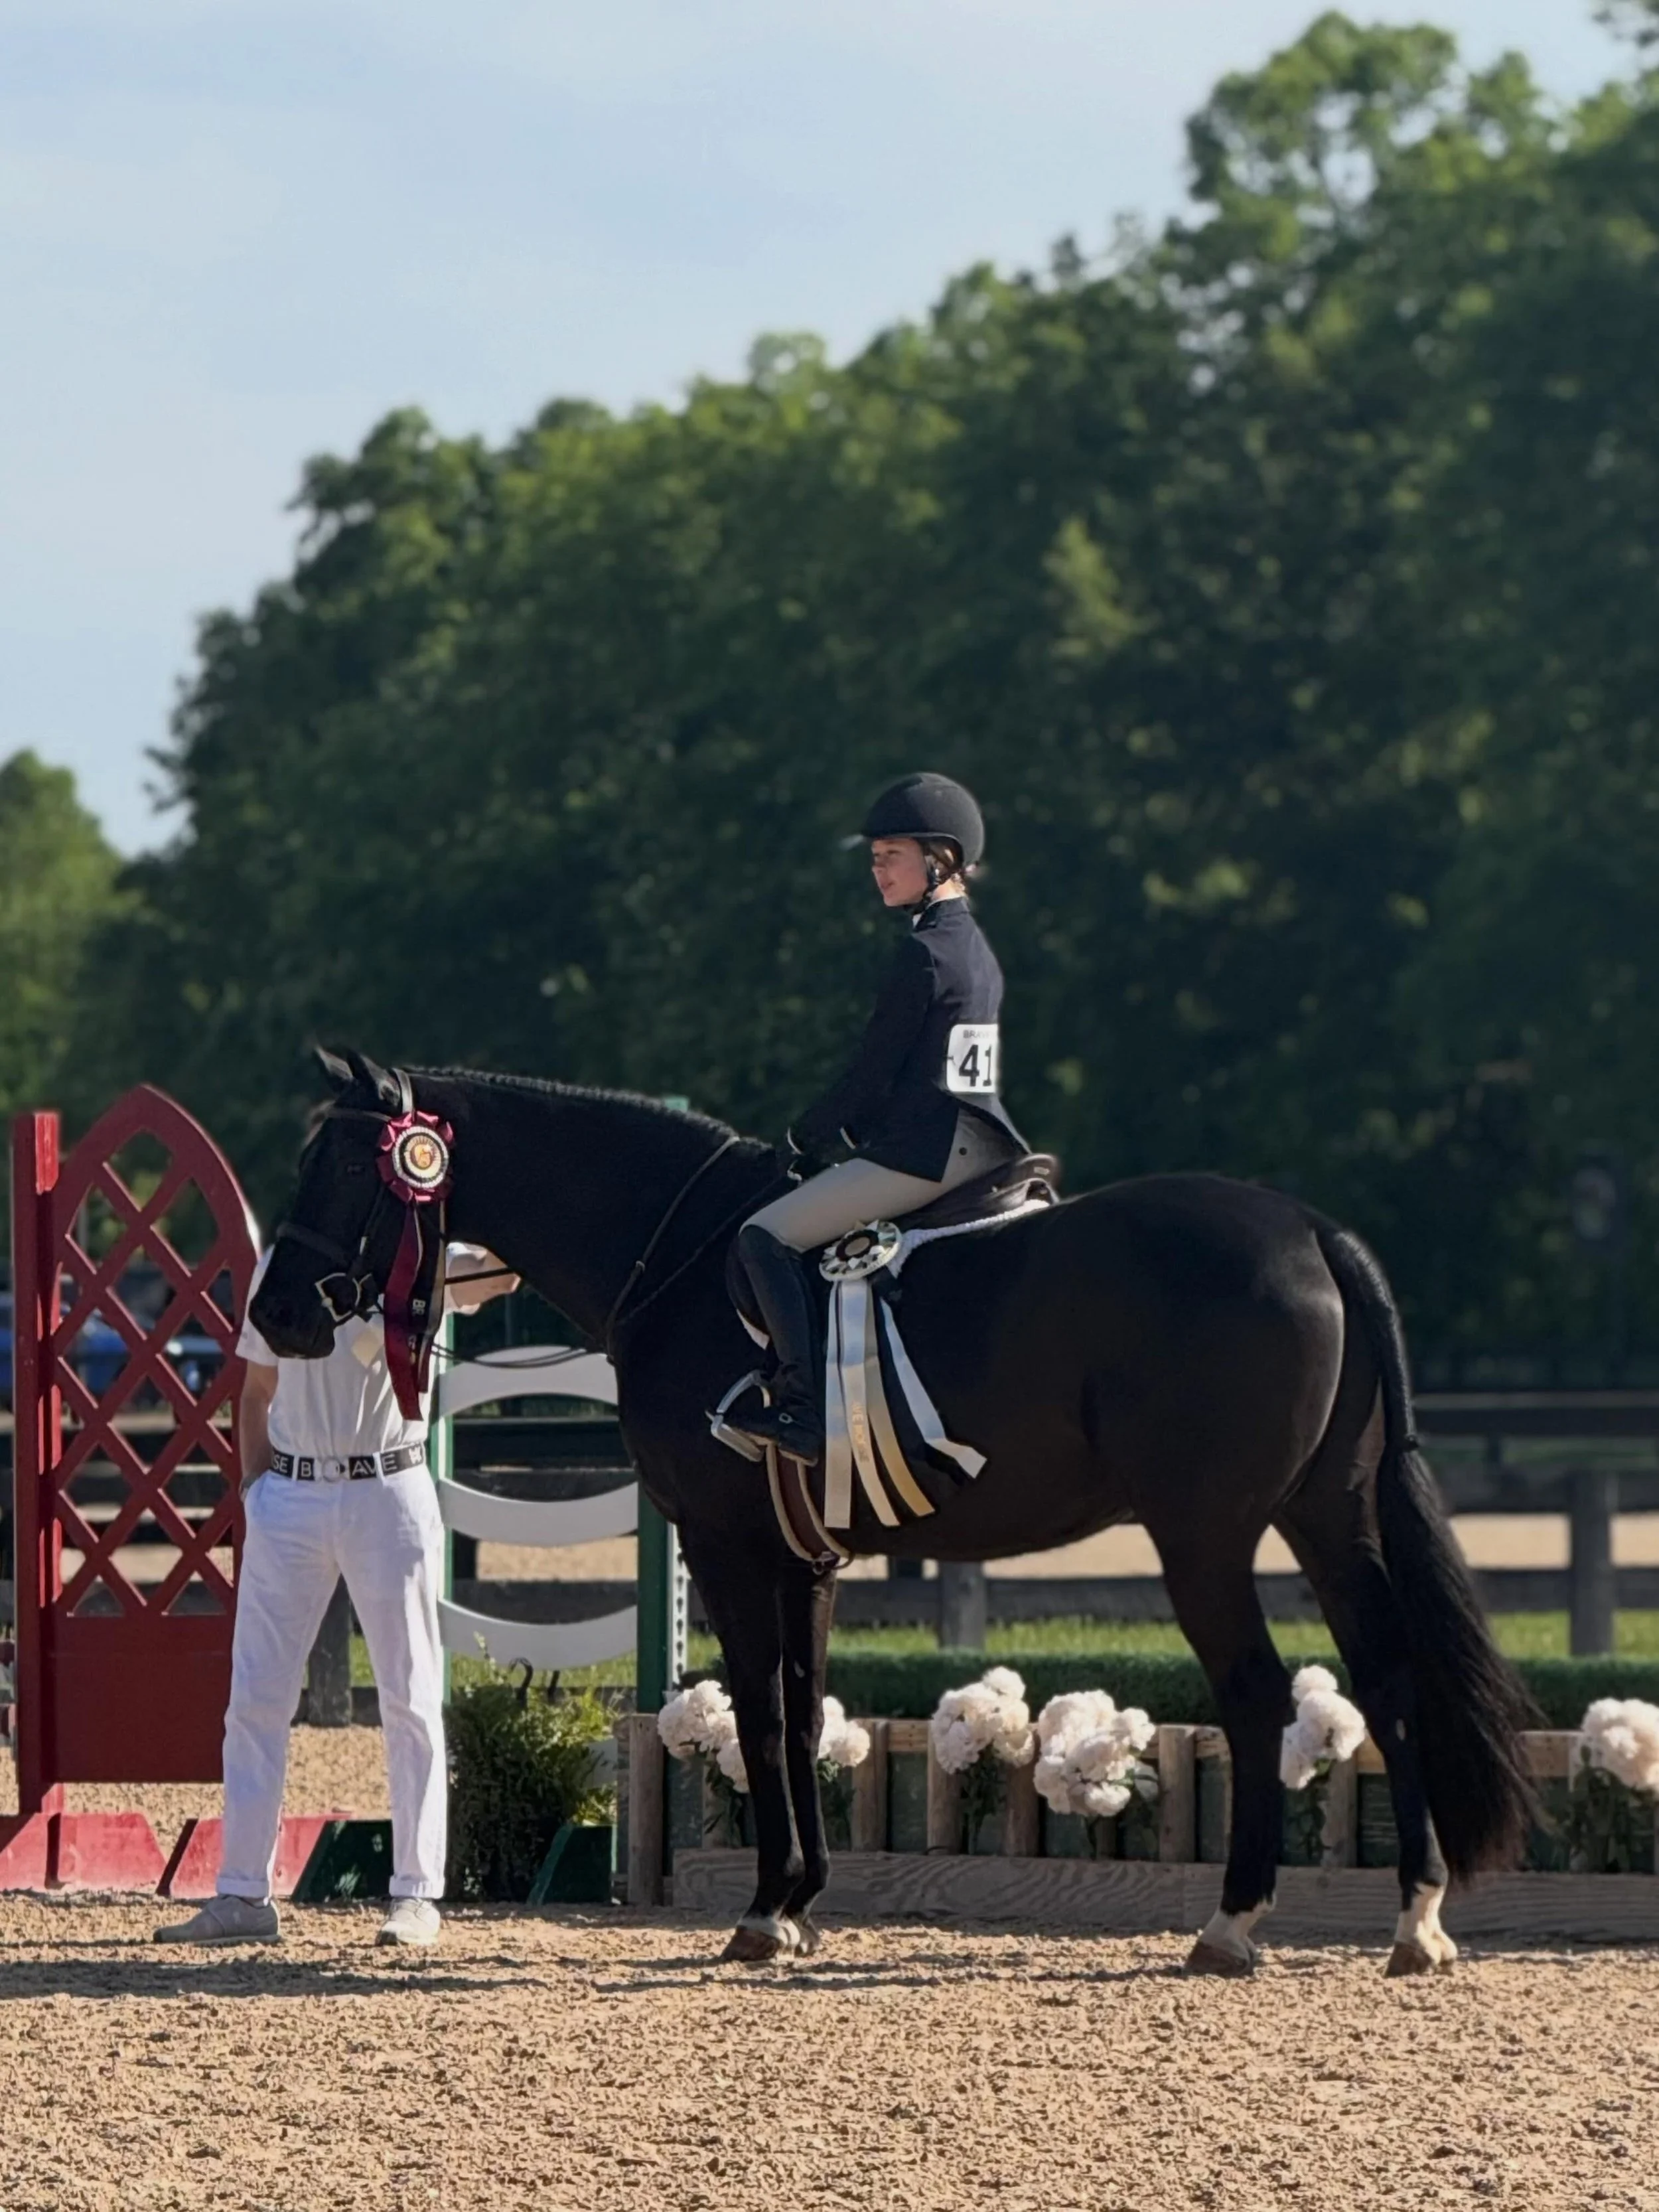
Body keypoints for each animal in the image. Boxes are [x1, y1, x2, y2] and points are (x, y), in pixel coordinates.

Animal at [250, 1049, 1538, 1976]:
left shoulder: (726, 1544)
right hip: (1327, 1515)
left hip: (1206, 1533)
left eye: (347, 1168)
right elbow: (800, 1708)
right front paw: (797, 1901)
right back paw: (1416, 1921)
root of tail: (1311, 1229)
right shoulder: (804, 1559)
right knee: (1388, 1678)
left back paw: (1231, 1925)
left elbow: (763, 1713)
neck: (682, 1259)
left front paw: (765, 1910)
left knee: (1262, 1695)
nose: (279, 1315)